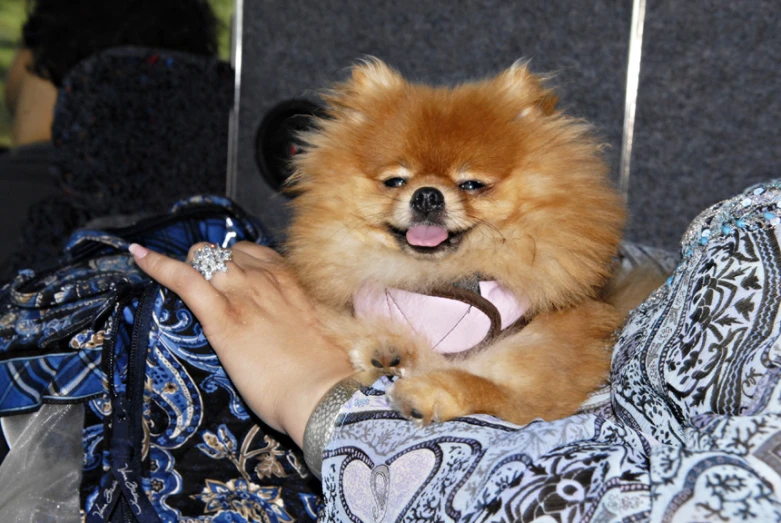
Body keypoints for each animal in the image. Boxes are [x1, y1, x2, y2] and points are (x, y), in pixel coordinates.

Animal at [284, 59, 640, 426]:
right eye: (395, 181)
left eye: (471, 184)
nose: (427, 195)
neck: (442, 275)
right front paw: (387, 345)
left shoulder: (540, 385)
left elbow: (485, 386)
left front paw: (430, 391)